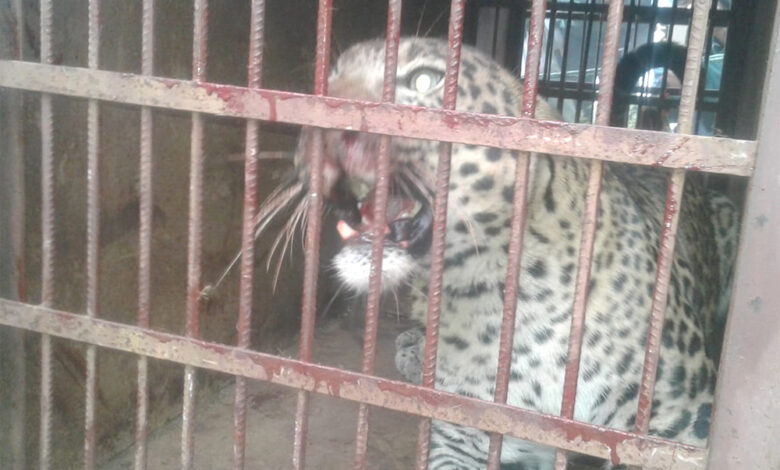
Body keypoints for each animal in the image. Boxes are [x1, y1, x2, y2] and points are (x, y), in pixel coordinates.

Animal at [265, 37, 738, 469]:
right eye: (326, 83)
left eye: (424, 80)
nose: (325, 126)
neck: (499, 296)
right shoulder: (463, 433)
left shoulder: (678, 427)